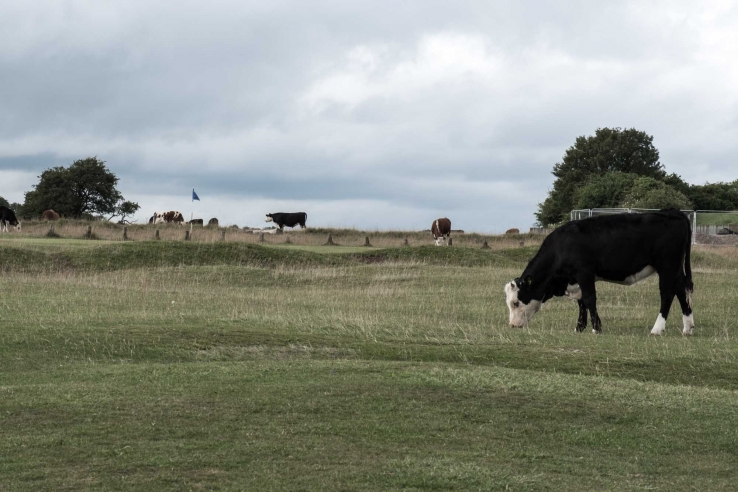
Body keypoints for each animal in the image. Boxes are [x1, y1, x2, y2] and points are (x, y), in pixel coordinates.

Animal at [504, 209, 692, 336]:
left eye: (516, 303)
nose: (512, 325)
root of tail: (672, 211)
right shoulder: (577, 279)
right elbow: (581, 303)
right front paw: (580, 327)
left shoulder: (584, 273)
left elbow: (589, 299)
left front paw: (596, 328)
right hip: (675, 269)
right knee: (681, 290)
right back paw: (688, 327)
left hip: (667, 267)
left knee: (667, 294)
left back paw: (657, 328)